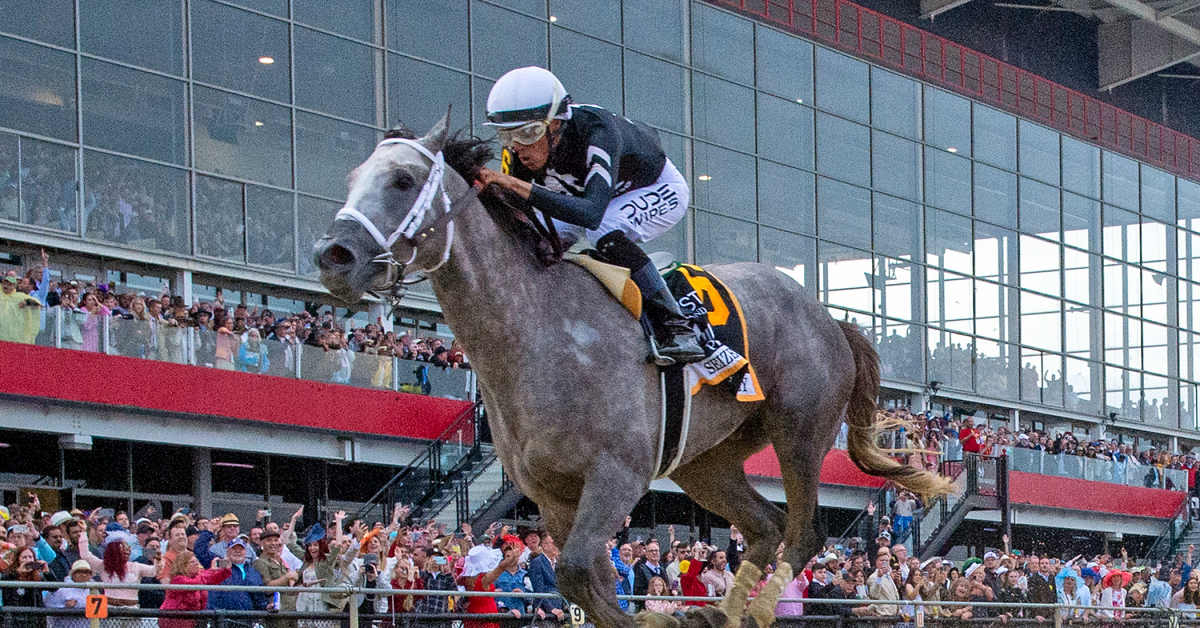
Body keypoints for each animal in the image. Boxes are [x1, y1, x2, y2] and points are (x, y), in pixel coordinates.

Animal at [314, 115, 950, 624]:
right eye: (351, 178)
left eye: (402, 180)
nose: (333, 256)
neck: (537, 332)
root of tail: (829, 319)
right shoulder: (551, 497)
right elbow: (584, 578)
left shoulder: (616, 473)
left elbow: (576, 571)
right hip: (706, 461)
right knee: (766, 526)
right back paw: (719, 612)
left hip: (800, 431)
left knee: (804, 529)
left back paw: (755, 608)